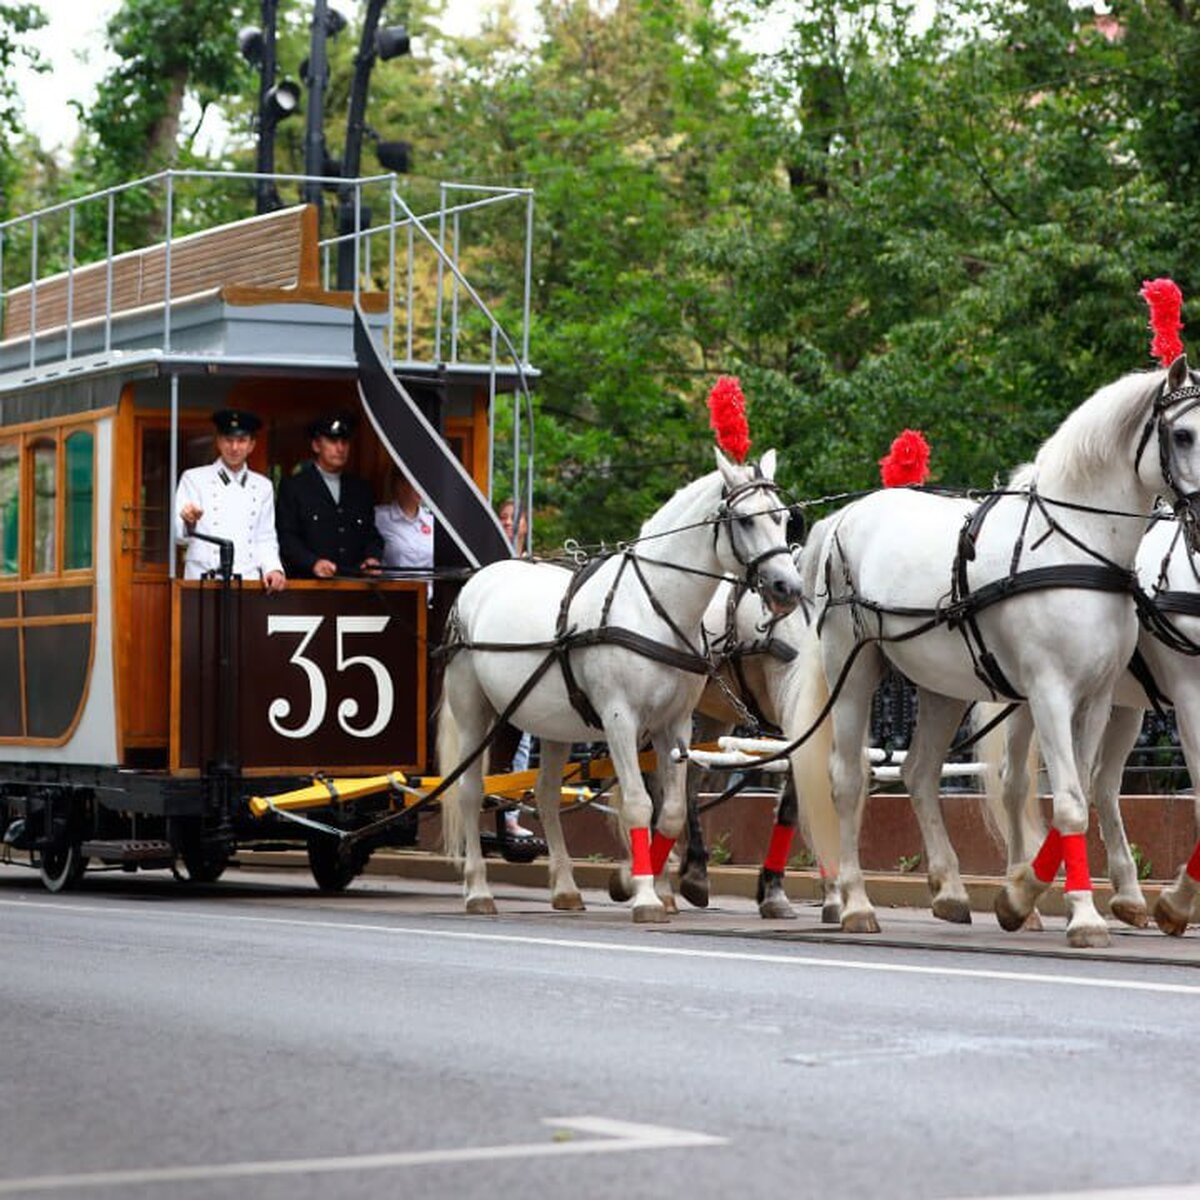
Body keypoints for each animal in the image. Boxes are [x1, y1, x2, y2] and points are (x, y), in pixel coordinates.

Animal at [436, 446, 801, 921]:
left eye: (783, 518)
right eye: (744, 520)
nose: (788, 587)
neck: (652, 605)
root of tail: (477, 580)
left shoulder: (674, 725)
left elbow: (670, 810)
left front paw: (647, 884)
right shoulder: (620, 720)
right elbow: (639, 803)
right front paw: (644, 894)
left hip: (549, 723)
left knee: (546, 796)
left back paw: (566, 889)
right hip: (474, 710)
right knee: (469, 792)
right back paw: (478, 890)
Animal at [796, 355, 1200, 945]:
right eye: (1183, 434)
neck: (1072, 542)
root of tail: (843, 518)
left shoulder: (1096, 697)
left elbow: (1076, 794)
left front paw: (1025, 894)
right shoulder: (1056, 691)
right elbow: (1071, 803)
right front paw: (1081, 915)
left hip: (944, 687)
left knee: (925, 773)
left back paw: (955, 890)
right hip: (853, 669)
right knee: (849, 780)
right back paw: (855, 903)